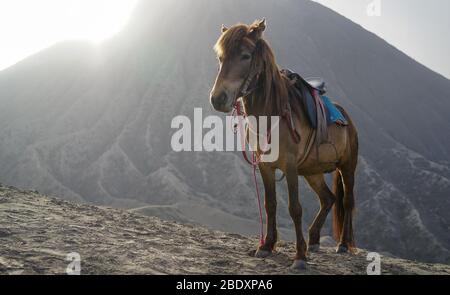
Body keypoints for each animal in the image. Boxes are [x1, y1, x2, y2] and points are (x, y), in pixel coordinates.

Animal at [208, 19, 358, 272]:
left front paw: (299, 256)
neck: (272, 113)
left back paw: (343, 245)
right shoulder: (265, 166)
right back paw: (314, 240)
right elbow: (270, 204)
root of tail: (346, 117)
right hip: (313, 172)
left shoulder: (290, 167)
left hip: (346, 167)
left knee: (347, 202)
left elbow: (294, 208)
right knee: (328, 199)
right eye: (220, 57)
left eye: (245, 56)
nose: (218, 99)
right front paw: (266, 246)